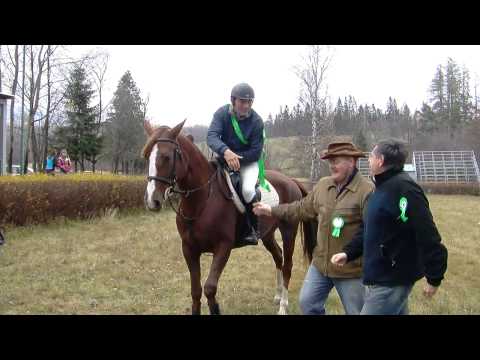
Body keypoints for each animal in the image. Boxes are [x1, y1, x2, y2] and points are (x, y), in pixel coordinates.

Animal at [142, 119, 316, 314]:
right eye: (147, 156)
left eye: (166, 157)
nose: (152, 200)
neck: (202, 200)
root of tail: (291, 180)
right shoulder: (189, 249)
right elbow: (196, 291)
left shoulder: (222, 248)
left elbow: (209, 288)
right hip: (268, 234)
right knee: (278, 256)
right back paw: (278, 296)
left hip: (288, 231)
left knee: (287, 265)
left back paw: (283, 306)